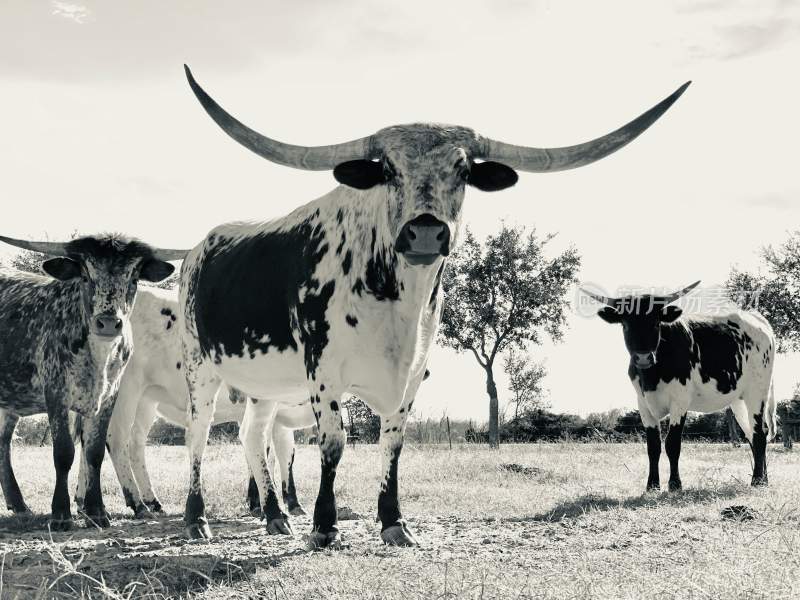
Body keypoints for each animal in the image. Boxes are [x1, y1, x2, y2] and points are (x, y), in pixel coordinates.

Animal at [0, 234, 183, 528]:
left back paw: (18, 503)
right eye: (85, 276)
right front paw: (61, 514)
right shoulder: (56, 393)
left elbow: (94, 452)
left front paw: (97, 511)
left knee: (3, 440)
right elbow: (64, 453)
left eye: (133, 278)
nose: (108, 323)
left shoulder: (108, 397)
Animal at [178, 65, 692, 548]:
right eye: (387, 168)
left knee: (252, 437)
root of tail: (198, 248)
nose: (425, 231)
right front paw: (324, 526)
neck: (395, 299)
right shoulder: (323, 371)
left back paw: (274, 516)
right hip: (200, 368)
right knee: (197, 434)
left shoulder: (413, 372)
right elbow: (333, 443)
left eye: (464, 171)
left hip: (264, 383)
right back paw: (197, 518)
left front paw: (393, 522)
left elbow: (393, 444)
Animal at [584, 284, 780, 490]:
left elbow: (672, 443)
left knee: (759, 434)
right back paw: (764, 478)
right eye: (625, 324)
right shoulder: (643, 404)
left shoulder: (679, 401)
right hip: (738, 400)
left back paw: (757, 480)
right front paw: (652, 485)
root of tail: (756, 319)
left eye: (656, 323)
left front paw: (675, 484)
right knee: (751, 434)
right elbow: (653, 446)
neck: (652, 376)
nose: (643, 357)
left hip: (757, 392)